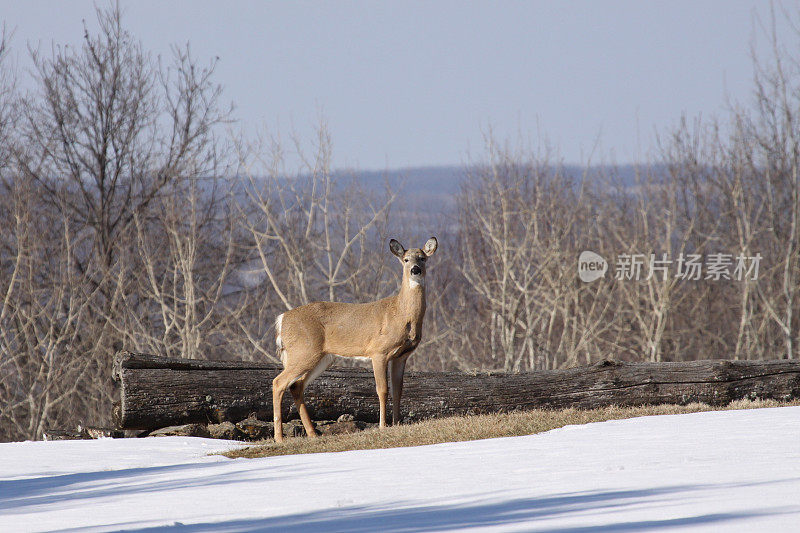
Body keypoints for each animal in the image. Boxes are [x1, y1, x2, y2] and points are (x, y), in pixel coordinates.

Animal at [274, 236, 438, 440]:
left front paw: (397, 424)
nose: (415, 269)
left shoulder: (401, 356)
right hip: (303, 350)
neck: (401, 313)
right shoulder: (378, 351)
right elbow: (382, 390)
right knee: (278, 382)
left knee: (296, 386)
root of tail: (282, 319)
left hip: (322, 357)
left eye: (423, 258)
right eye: (406, 259)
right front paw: (382, 426)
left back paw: (312, 434)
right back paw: (279, 438)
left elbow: (398, 391)